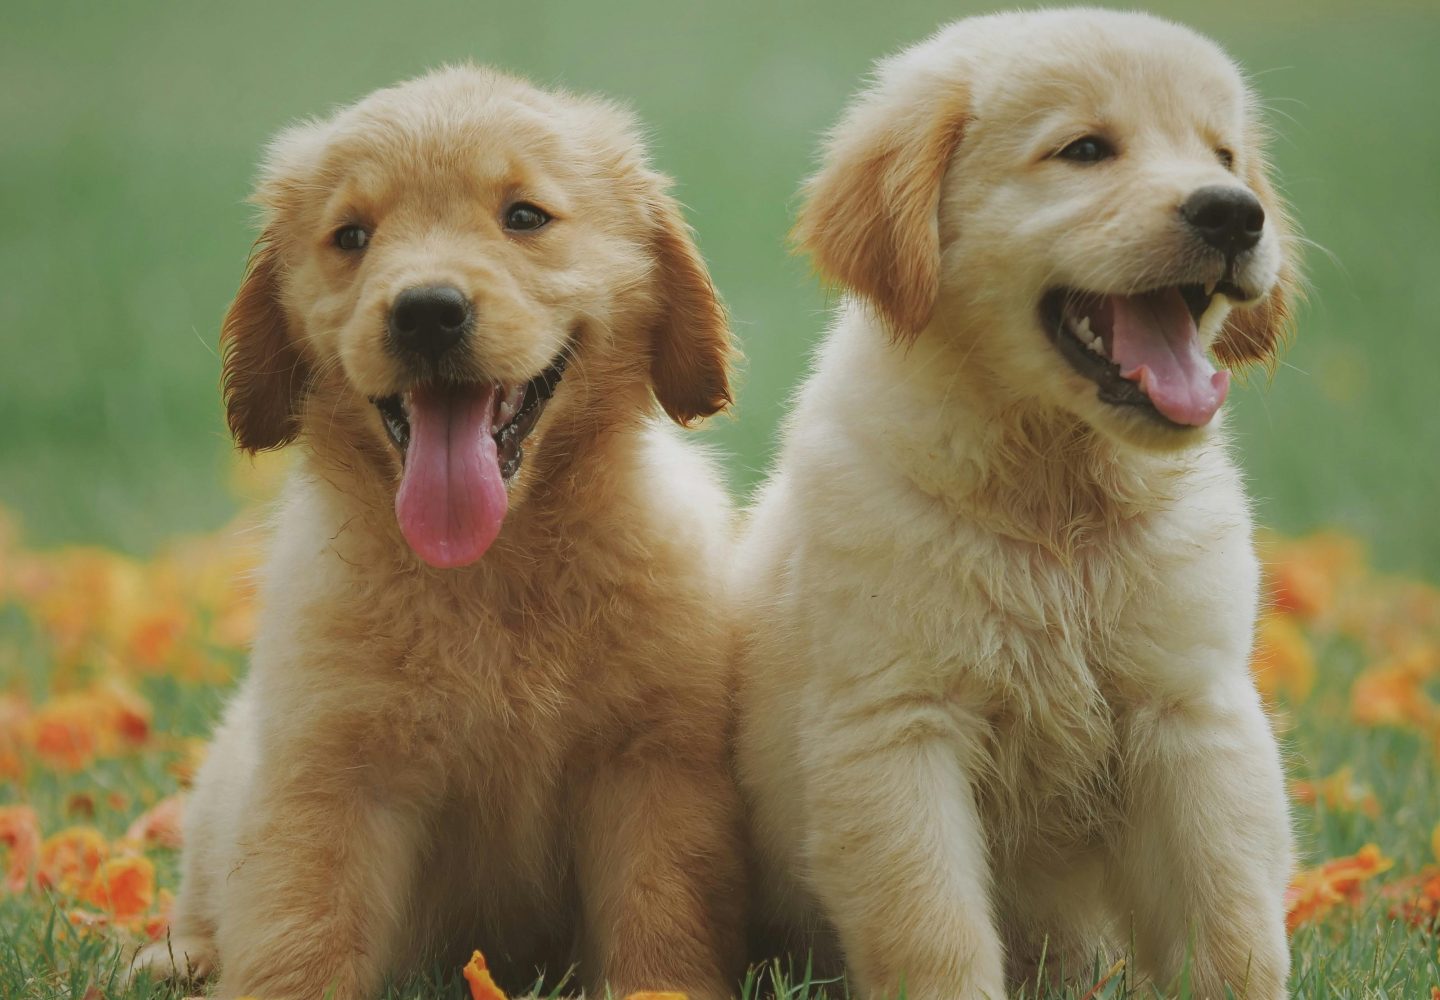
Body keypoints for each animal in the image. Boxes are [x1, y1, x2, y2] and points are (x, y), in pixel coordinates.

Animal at [743, 9, 1296, 1000]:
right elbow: (933, 932)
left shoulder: (1191, 713)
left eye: (1224, 155)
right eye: (1085, 150)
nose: (1234, 212)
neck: (1054, 498)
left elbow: (1231, 919)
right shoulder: (897, 727)